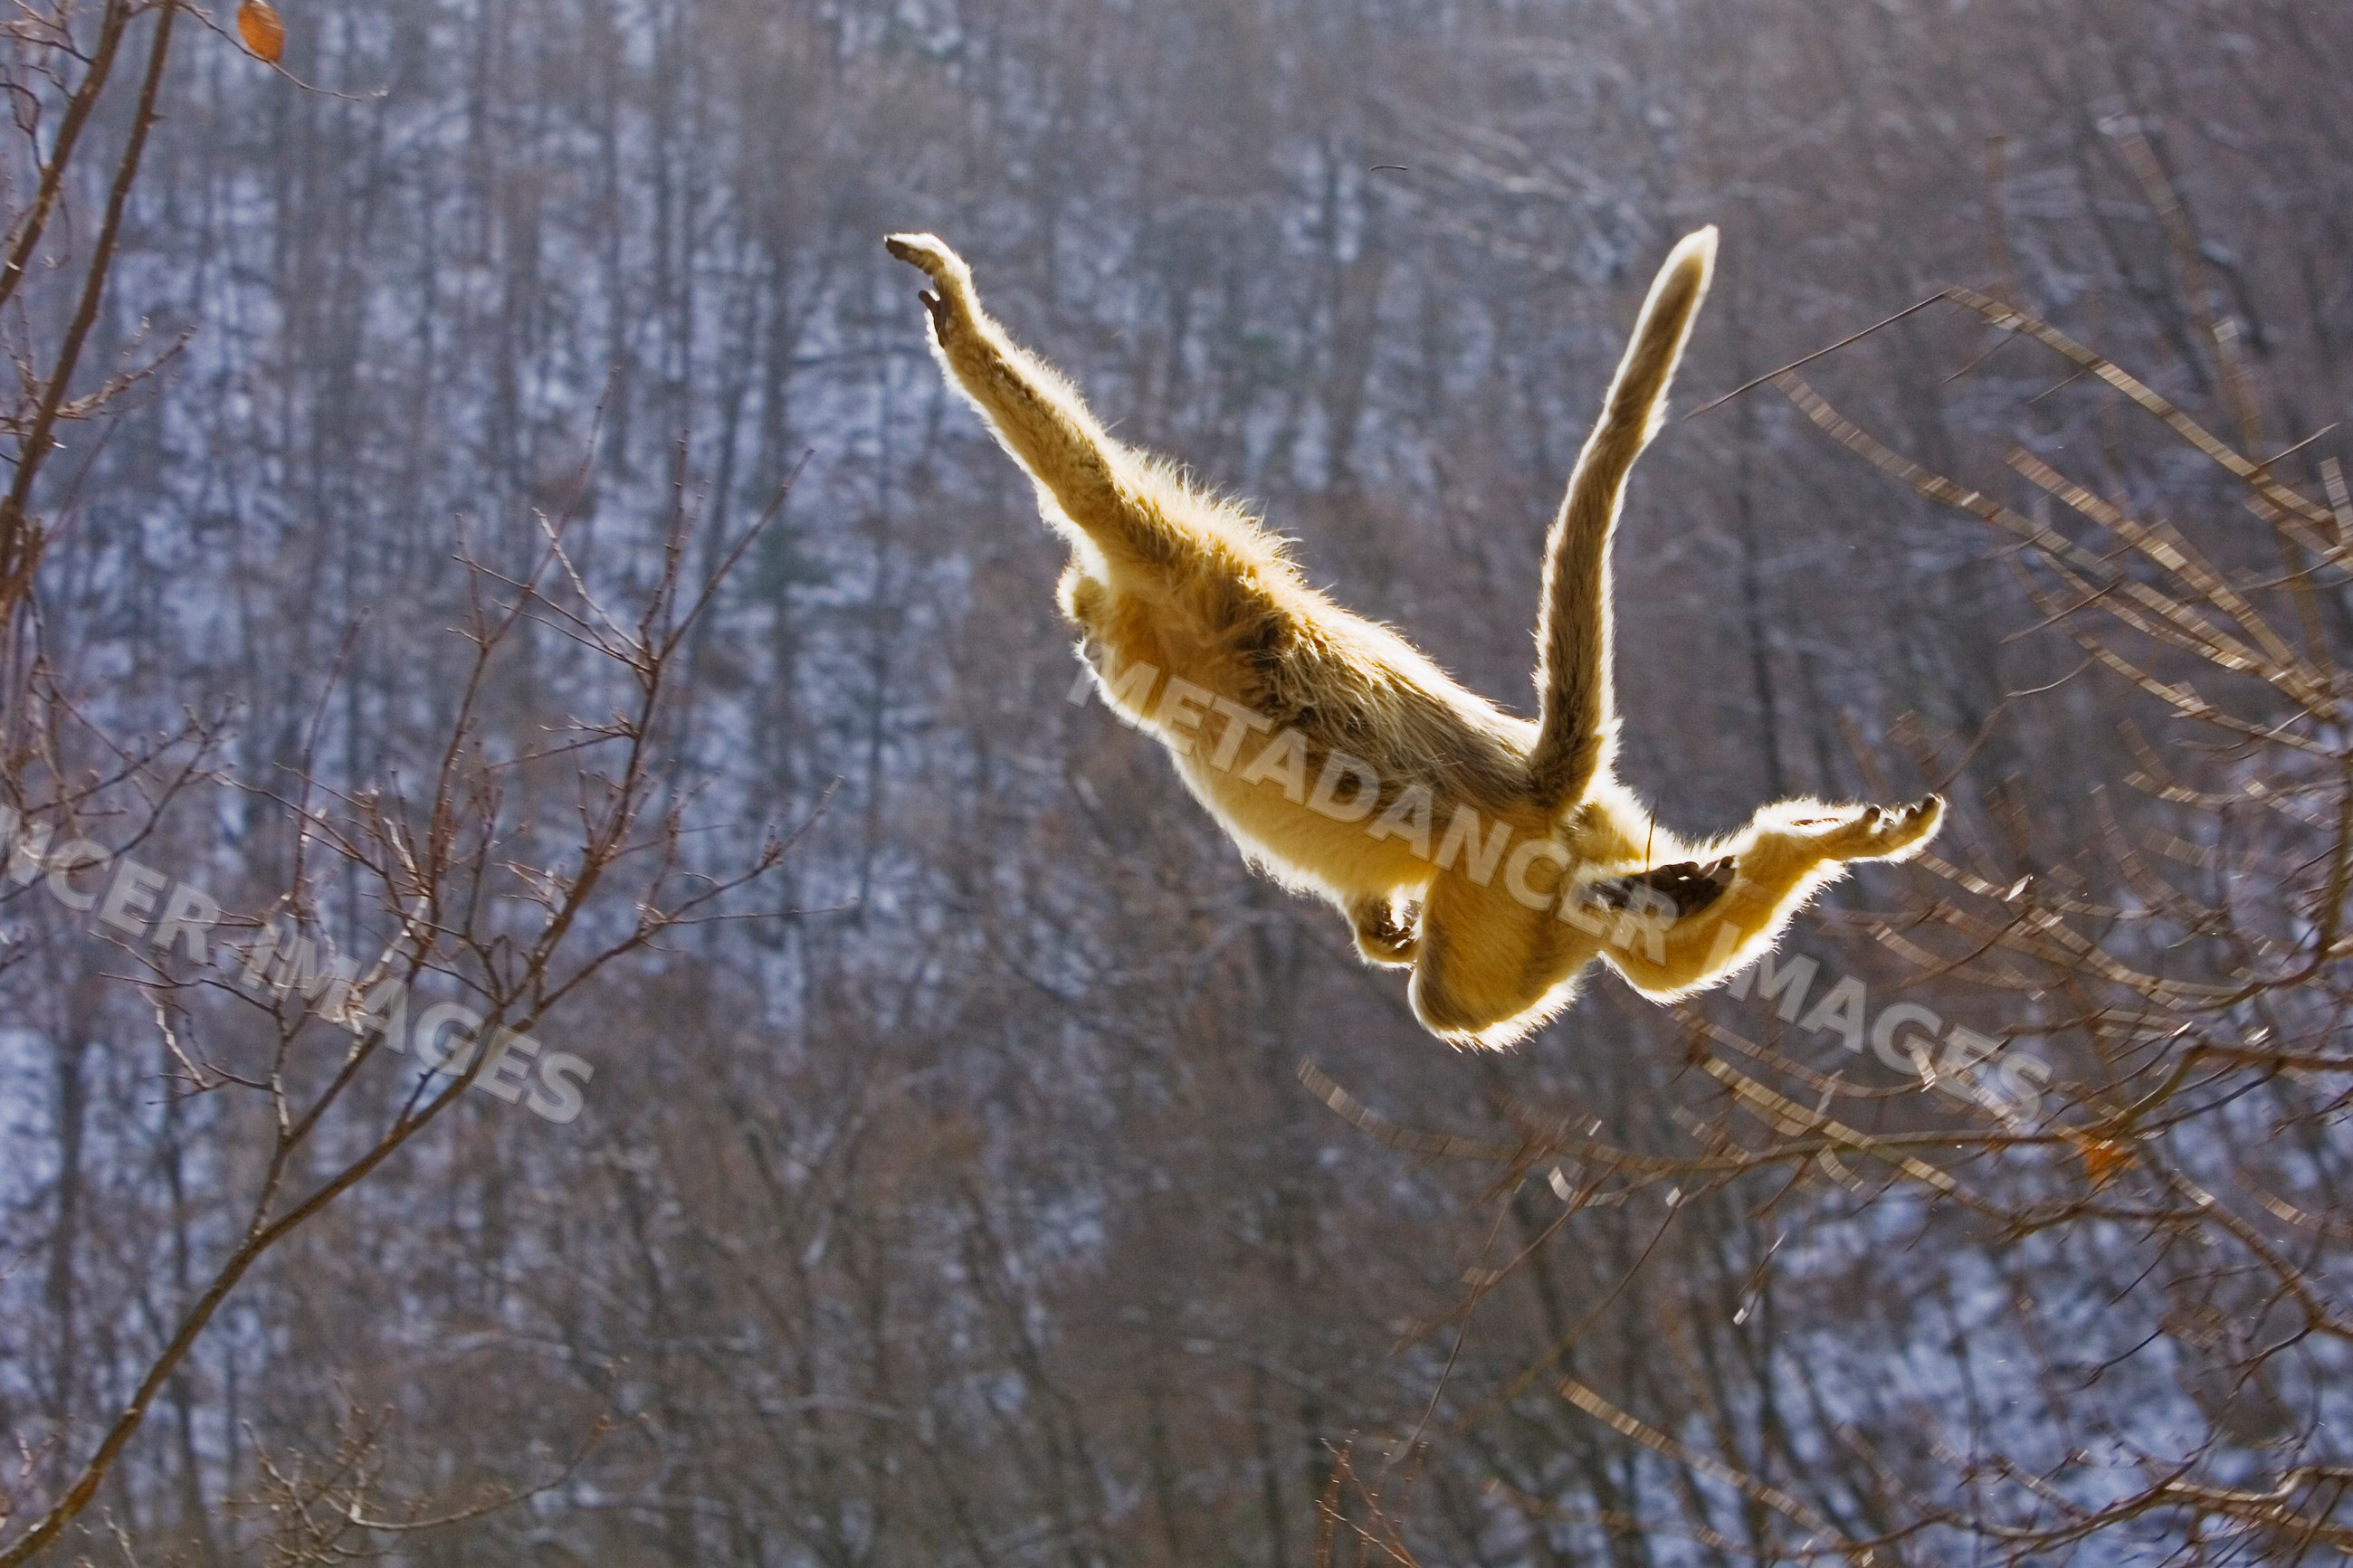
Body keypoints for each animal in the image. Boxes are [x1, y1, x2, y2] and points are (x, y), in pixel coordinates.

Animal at [886, 228, 1941, 1048]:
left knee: (1461, 998)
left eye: (1089, 633)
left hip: (1502, 882)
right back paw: (1778, 853)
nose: (1086, 654)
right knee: (1644, 961)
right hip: (1589, 832)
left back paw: (1664, 895)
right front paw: (1374, 925)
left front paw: (961, 315)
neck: (1190, 658)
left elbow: (1085, 482)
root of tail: (1529, 783)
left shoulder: (1194, 581)